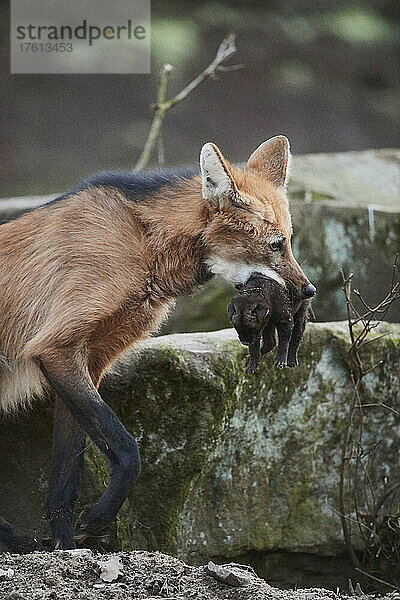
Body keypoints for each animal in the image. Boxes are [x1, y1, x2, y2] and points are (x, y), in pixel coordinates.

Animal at [0, 136, 316, 552]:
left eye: (289, 242)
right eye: (276, 245)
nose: (308, 291)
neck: (145, 242)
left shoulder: (88, 363)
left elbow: (63, 487)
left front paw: (66, 548)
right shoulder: (57, 351)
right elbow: (128, 451)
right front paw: (96, 520)